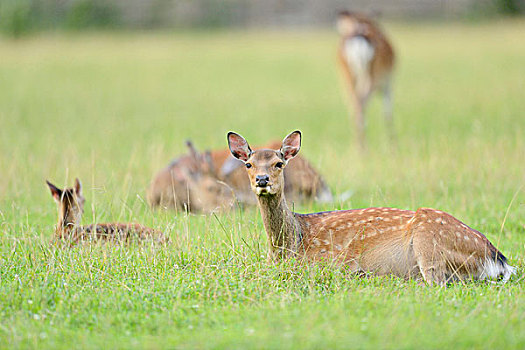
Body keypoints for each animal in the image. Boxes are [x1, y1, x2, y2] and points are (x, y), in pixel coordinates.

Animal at [227, 130, 512, 286]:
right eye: (249, 164)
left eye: (279, 163)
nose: (262, 180)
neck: (291, 245)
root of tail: (498, 259)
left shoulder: (332, 263)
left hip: (429, 241)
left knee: (435, 284)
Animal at [338, 10, 396, 150]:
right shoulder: (388, 83)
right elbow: (388, 113)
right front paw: (393, 148)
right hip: (373, 78)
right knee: (361, 103)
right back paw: (363, 149)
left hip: (347, 77)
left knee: (355, 105)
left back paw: (359, 147)